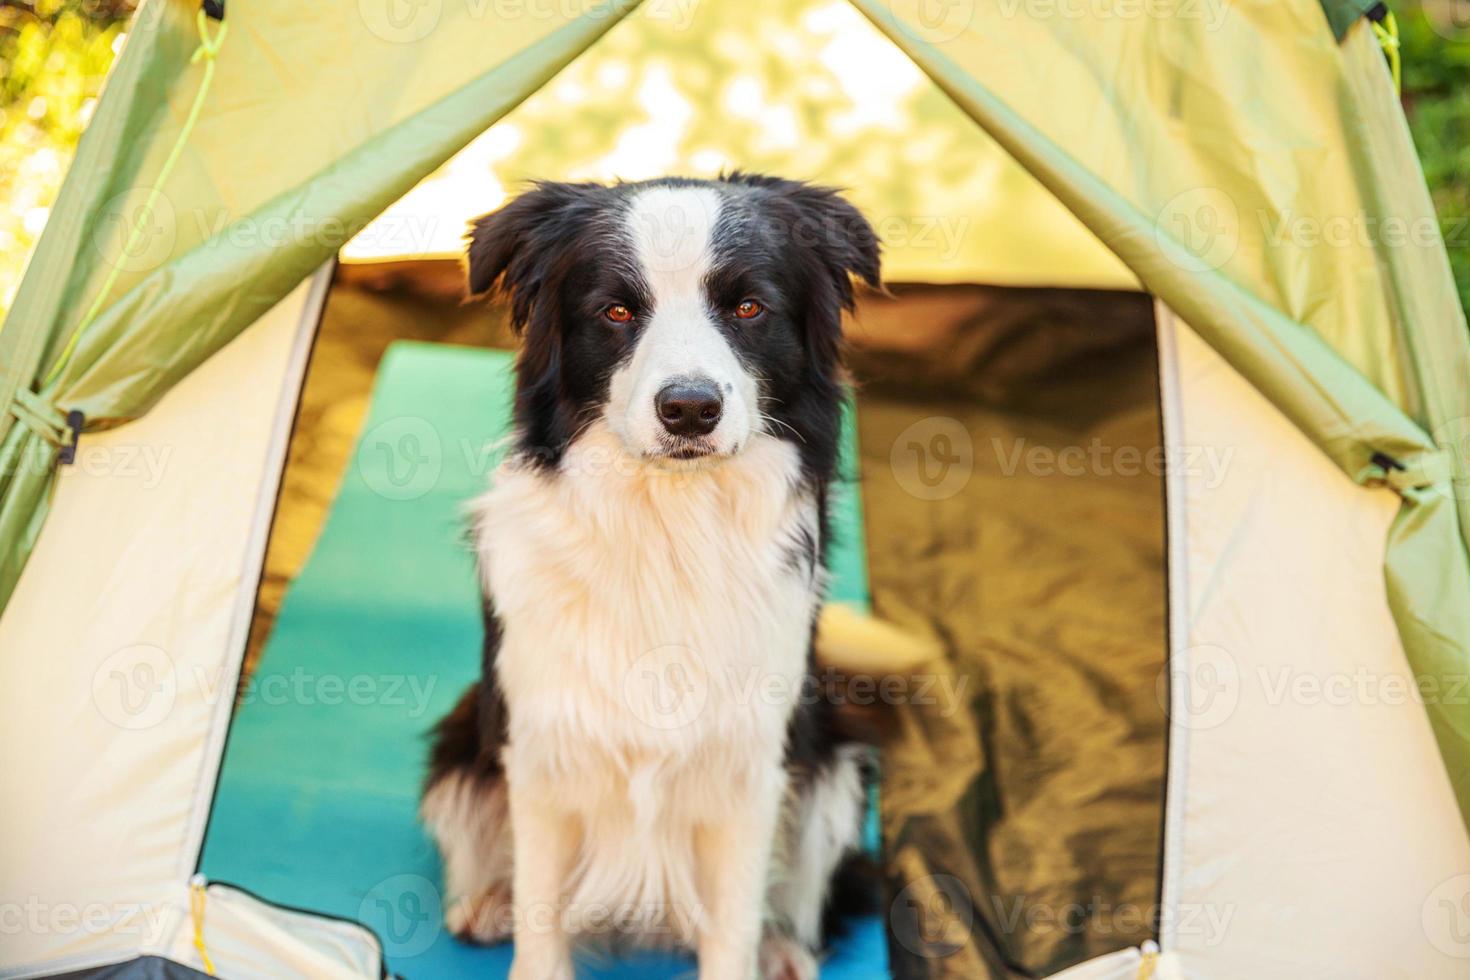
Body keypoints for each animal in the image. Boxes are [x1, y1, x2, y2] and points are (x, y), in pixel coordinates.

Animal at [423, 176, 882, 980]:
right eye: (615, 311)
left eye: (748, 307)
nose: (690, 409)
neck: (668, 523)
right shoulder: (542, 745)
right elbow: (542, 918)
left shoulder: (749, 762)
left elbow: (732, 929)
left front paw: (754, 949)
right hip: (461, 743)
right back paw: (486, 903)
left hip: (835, 764)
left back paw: (784, 950)